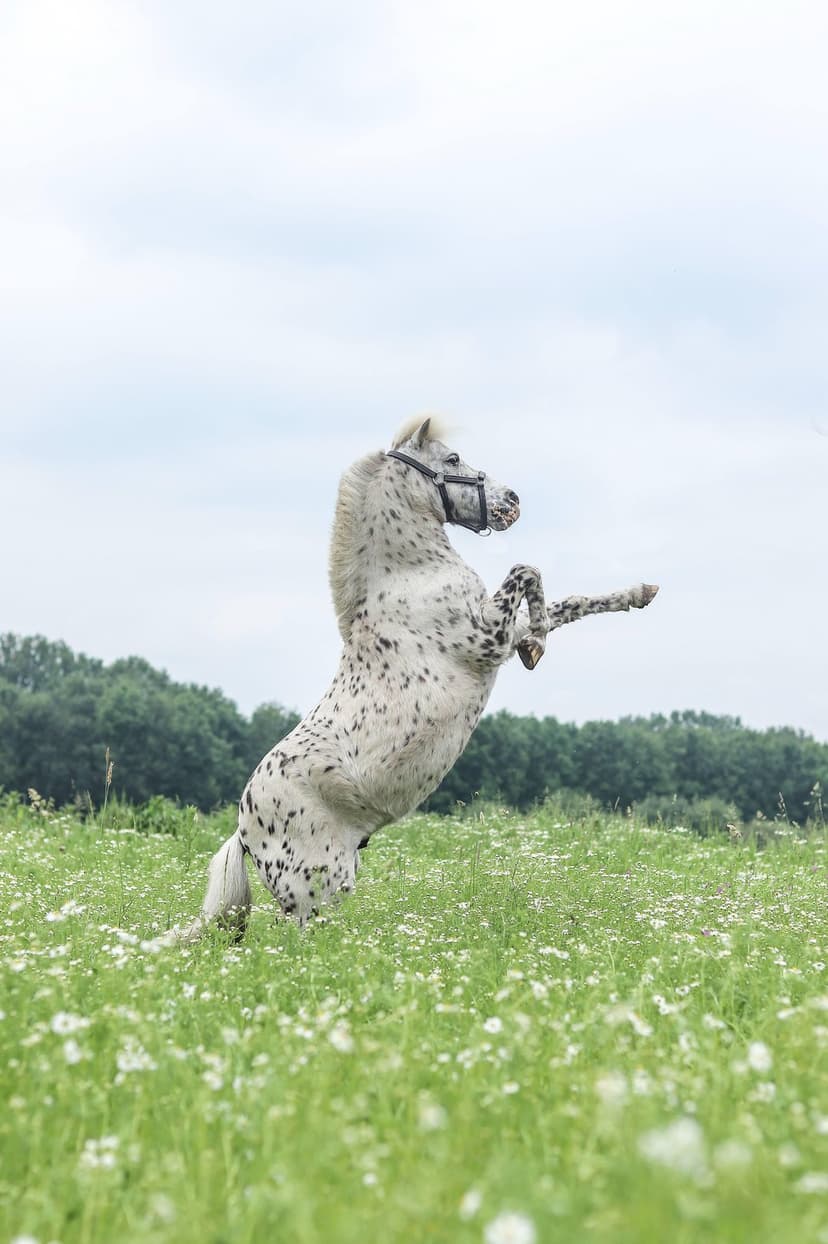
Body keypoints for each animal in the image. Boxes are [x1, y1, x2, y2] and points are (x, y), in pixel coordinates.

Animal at [178, 416, 658, 940]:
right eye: (452, 459)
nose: (512, 500)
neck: (411, 575)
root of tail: (243, 830)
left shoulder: (499, 635)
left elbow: (566, 602)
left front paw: (635, 595)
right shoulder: (487, 639)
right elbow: (526, 571)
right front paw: (539, 643)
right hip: (318, 887)